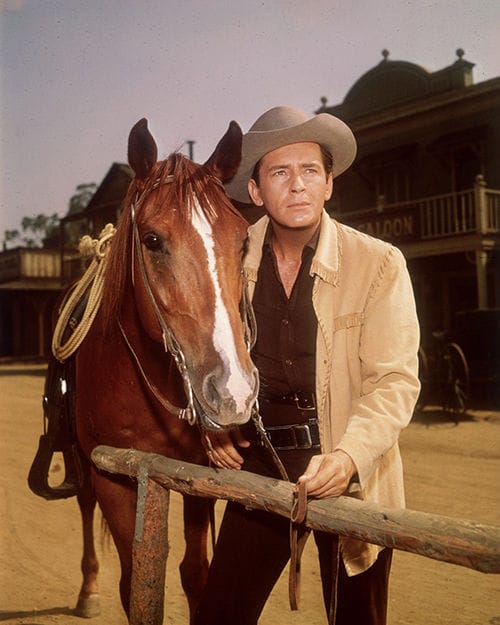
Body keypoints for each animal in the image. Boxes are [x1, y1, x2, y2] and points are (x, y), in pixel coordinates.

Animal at [69, 118, 258, 621]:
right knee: (83, 506)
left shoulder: (195, 477)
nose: (233, 390)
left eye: (243, 239)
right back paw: (87, 589)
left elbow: (195, 574)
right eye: (152, 240)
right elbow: (134, 583)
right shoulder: (113, 477)